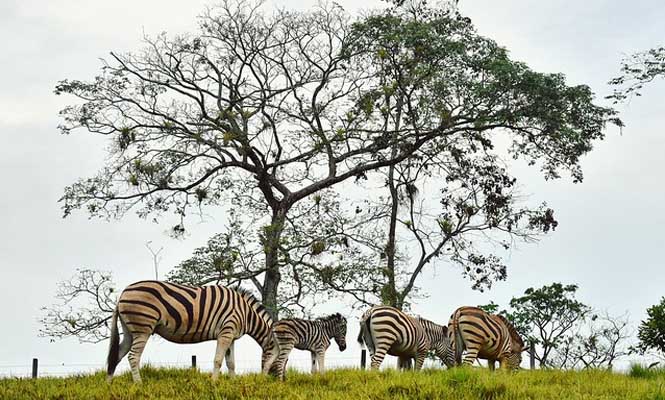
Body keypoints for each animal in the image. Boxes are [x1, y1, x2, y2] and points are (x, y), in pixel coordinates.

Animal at [106, 280, 278, 382]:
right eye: (281, 357)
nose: (275, 381)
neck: (246, 313)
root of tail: (122, 295)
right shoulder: (226, 332)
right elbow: (218, 360)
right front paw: (214, 383)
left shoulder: (231, 336)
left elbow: (231, 363)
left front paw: (233, 384)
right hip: (142, 328)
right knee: (133, 357)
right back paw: (139, 384)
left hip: (129, 331)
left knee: (117, 355)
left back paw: (109, 384)